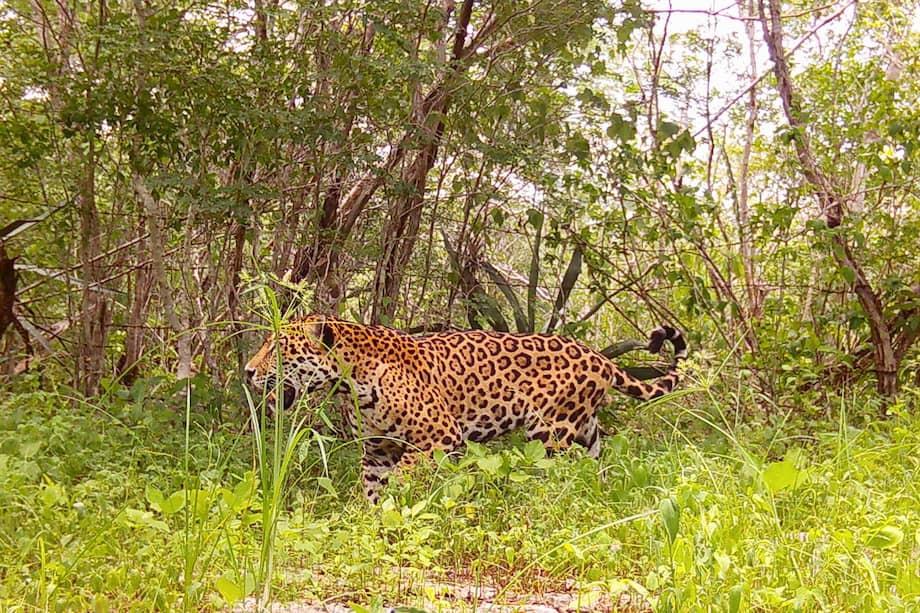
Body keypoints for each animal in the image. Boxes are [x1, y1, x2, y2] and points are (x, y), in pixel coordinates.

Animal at [244, 314, 687, 502]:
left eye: (279, 348)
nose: (247, 371)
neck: (349, 381)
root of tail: (600, 357)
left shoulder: (440, 437)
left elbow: (404, 476)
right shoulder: (377, 450)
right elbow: (371, 488)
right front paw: (372, 522)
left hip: (550, 432)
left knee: (555, 476)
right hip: (585, 431)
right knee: (593, 471)